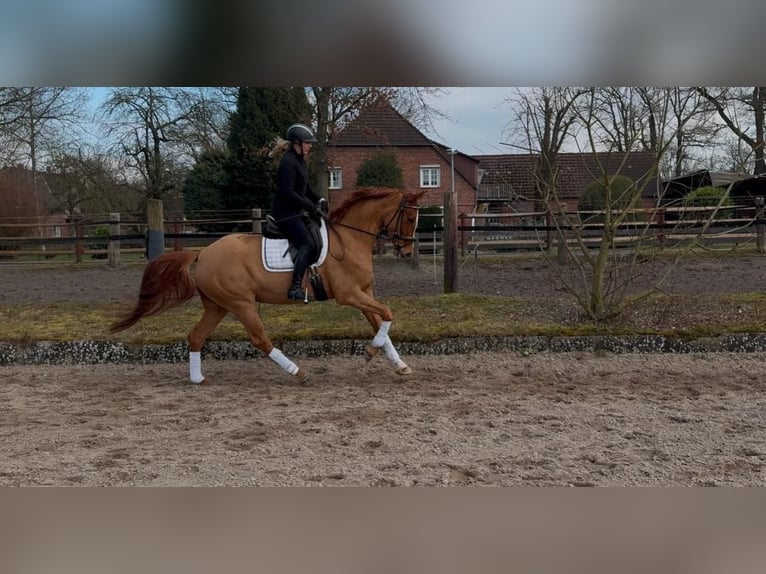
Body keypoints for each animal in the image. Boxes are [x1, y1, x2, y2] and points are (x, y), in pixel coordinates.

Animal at [109, 189, 426, 388]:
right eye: (411, 218)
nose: (408, 252)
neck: (349, 239)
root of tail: (203, 253)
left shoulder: (365, 293)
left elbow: (381, 322)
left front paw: (398, 364)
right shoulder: (349, 296)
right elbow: (388, 314)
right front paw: (371, 353)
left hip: (218, 306)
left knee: (196, 336)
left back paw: (197, 379)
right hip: (241, 304)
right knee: (260, 339)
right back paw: (299, 373)